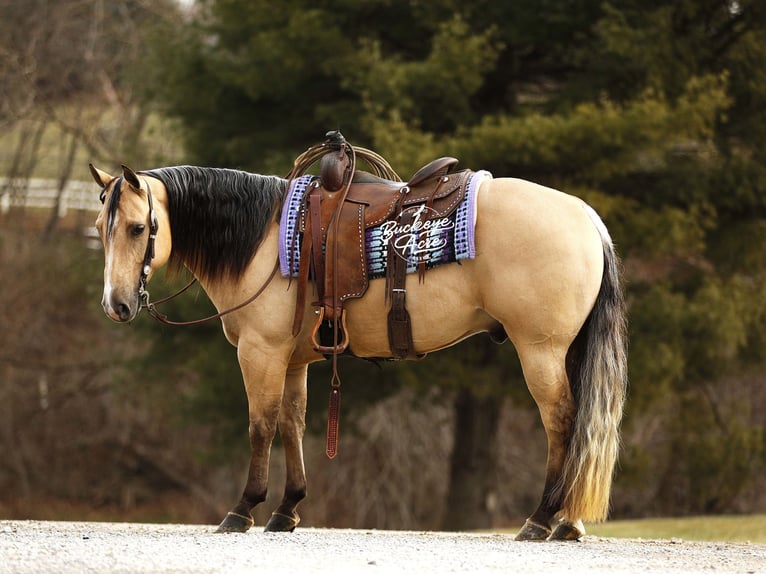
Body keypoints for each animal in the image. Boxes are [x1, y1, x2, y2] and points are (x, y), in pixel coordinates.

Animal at [89, 160, 627, 541]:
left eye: (138, 228)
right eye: (99, 227)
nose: (116, 305)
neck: (263, 241)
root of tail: (585, 217)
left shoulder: (260, 354)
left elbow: (260, 425)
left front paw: (243, 509)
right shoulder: (292, 361)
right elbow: (292, 424)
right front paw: (287, 509)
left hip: (540, 351)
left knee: (561, 422)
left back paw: (542, 518)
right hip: (566, 352)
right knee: (581, 426)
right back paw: (568, 522)